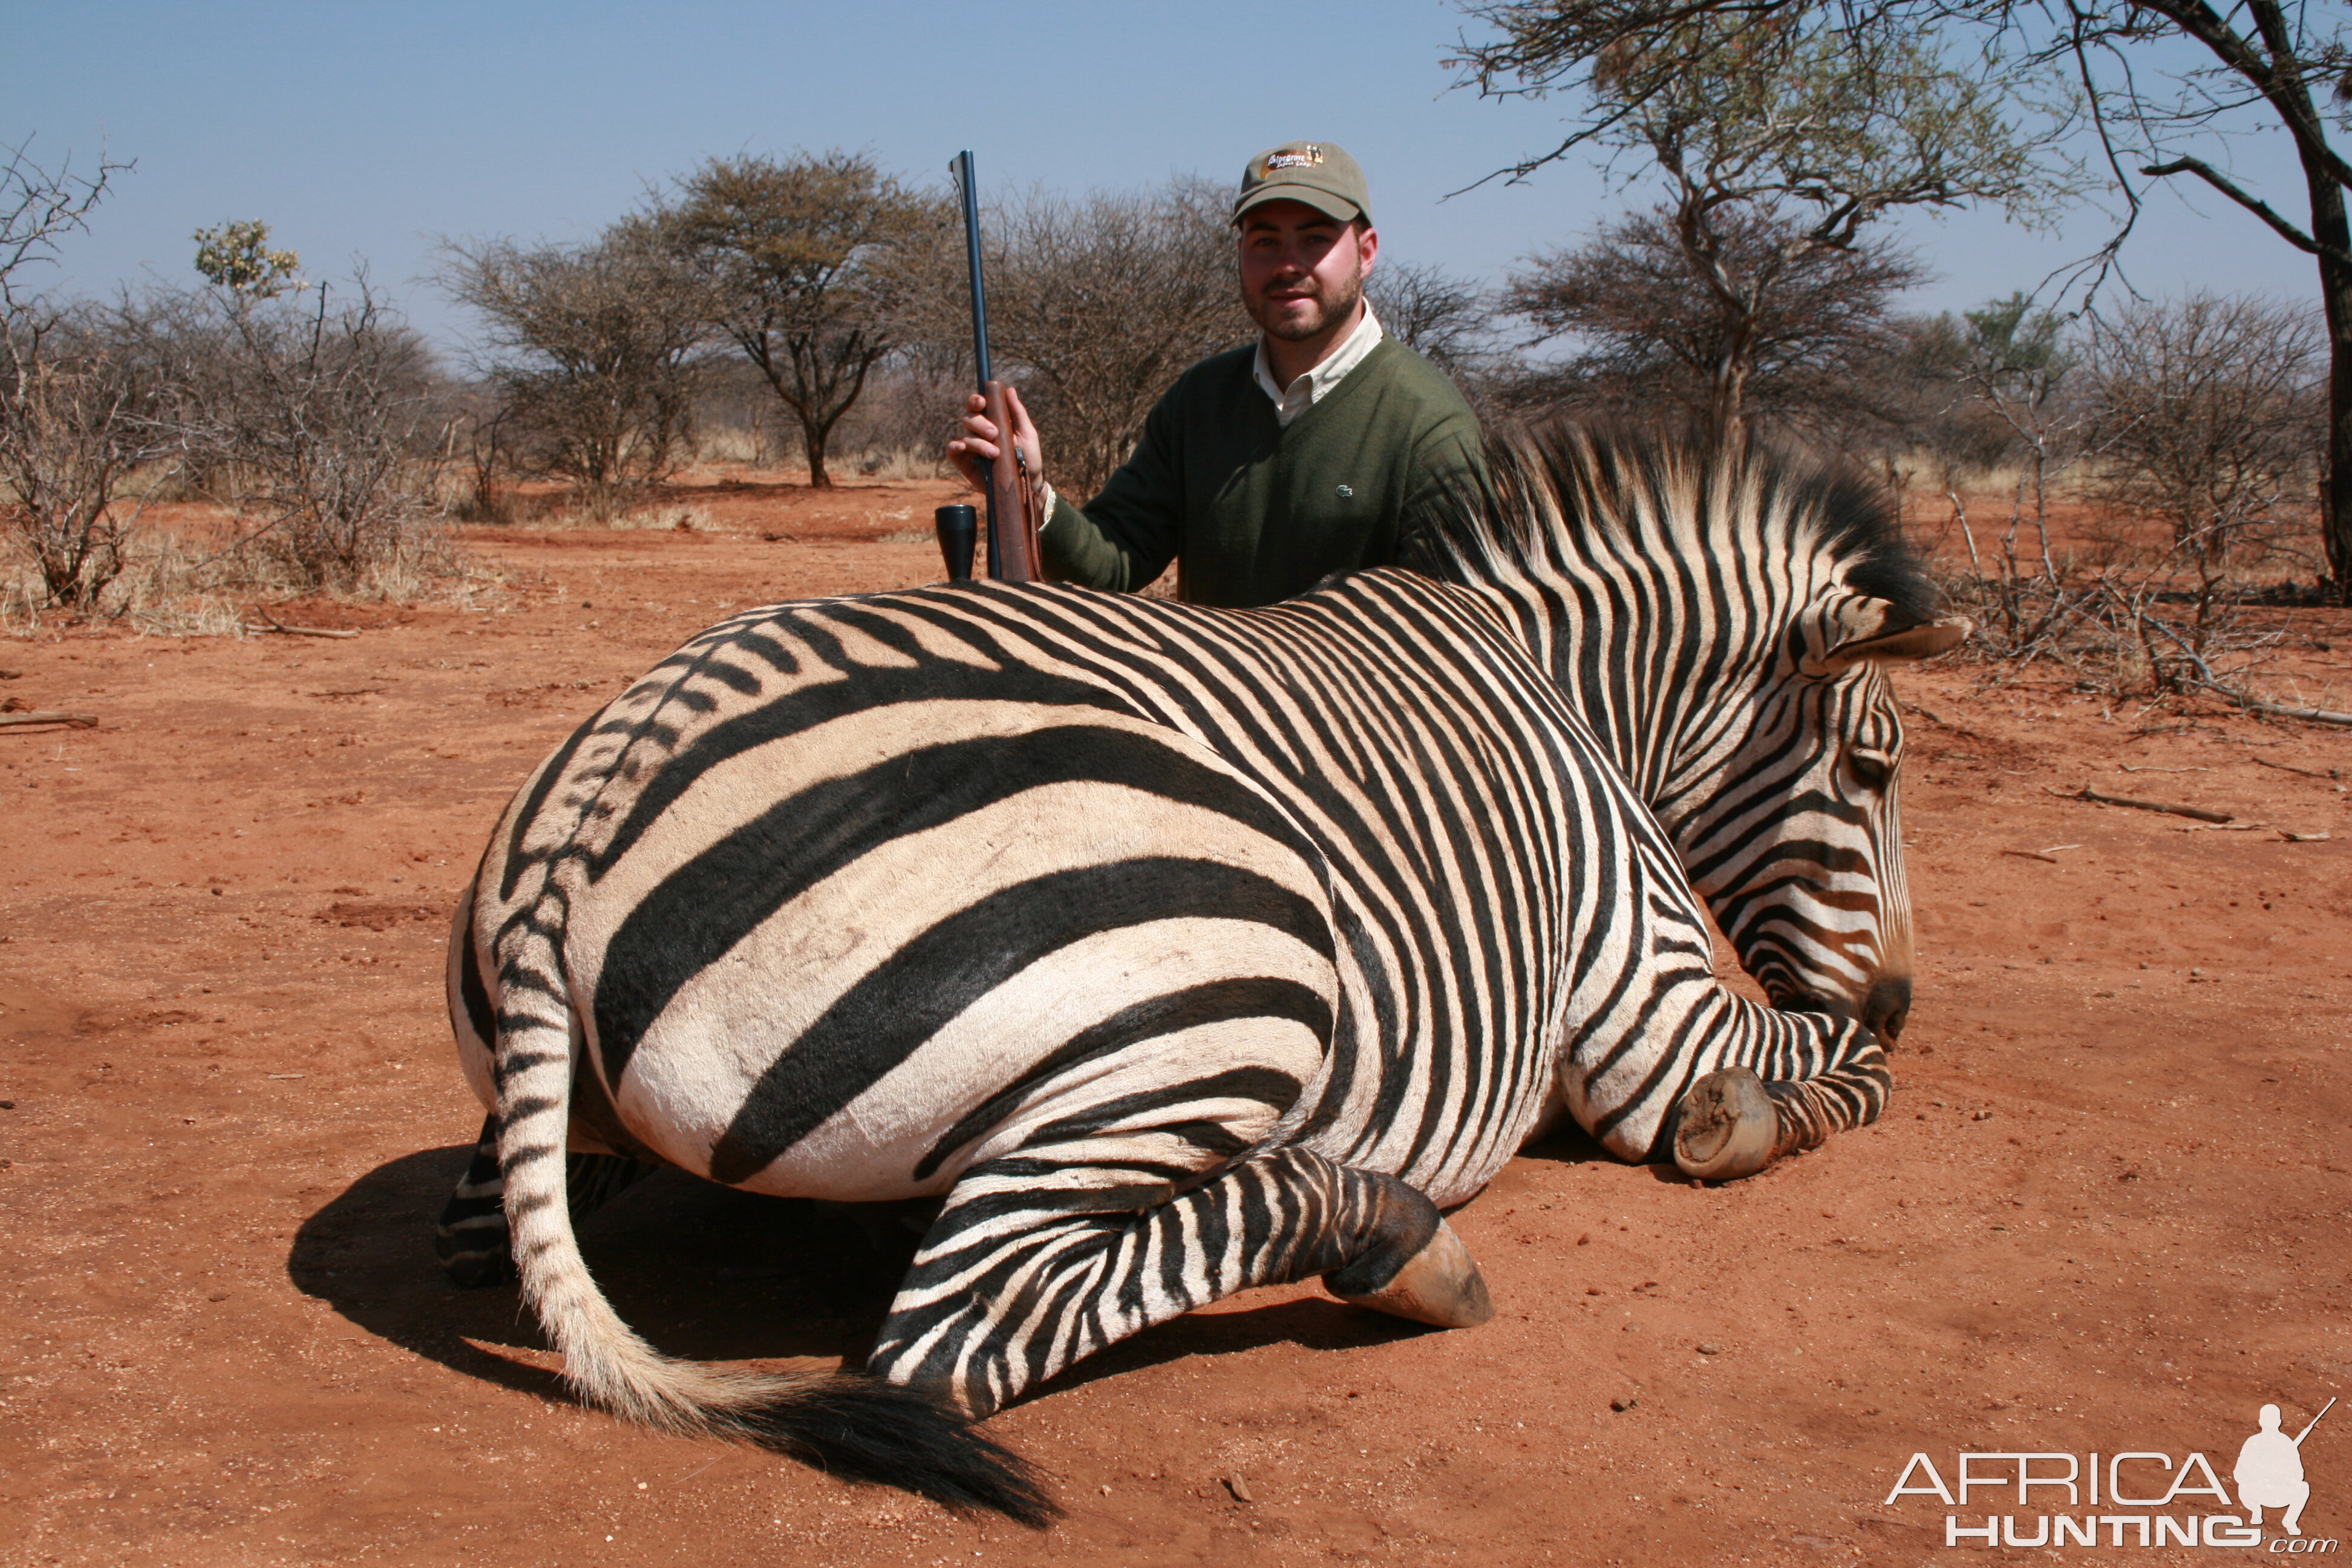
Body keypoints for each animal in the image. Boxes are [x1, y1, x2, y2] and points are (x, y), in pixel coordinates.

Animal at [428, 425, 1966, 1523]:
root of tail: (593, 800)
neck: (1572, 698)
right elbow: (1833, 1079)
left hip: (544, 1125)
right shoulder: (1651, 1015)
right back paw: (1401, 1242)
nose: (1898, 994)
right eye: (1874, 766)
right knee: (958, 1329)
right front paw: (1751, 1117)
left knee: (485, 1236)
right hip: (1239, 963)